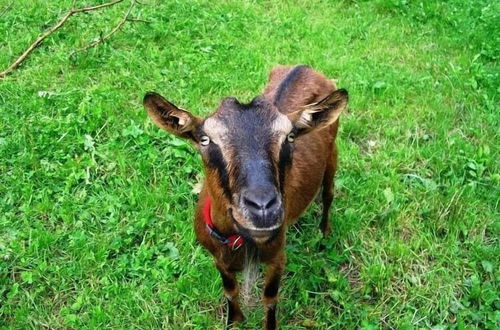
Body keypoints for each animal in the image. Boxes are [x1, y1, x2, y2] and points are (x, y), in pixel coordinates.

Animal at [144, 64, 348, 328]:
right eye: (205, 140)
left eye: (290, 137)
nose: (262, 207)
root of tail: (304, 67)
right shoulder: (218, 258)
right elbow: (230, 290)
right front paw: (235, 320)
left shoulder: (277, 256)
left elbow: (270, 297)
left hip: (333, 154)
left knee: (328, 194)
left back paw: (324, 233)